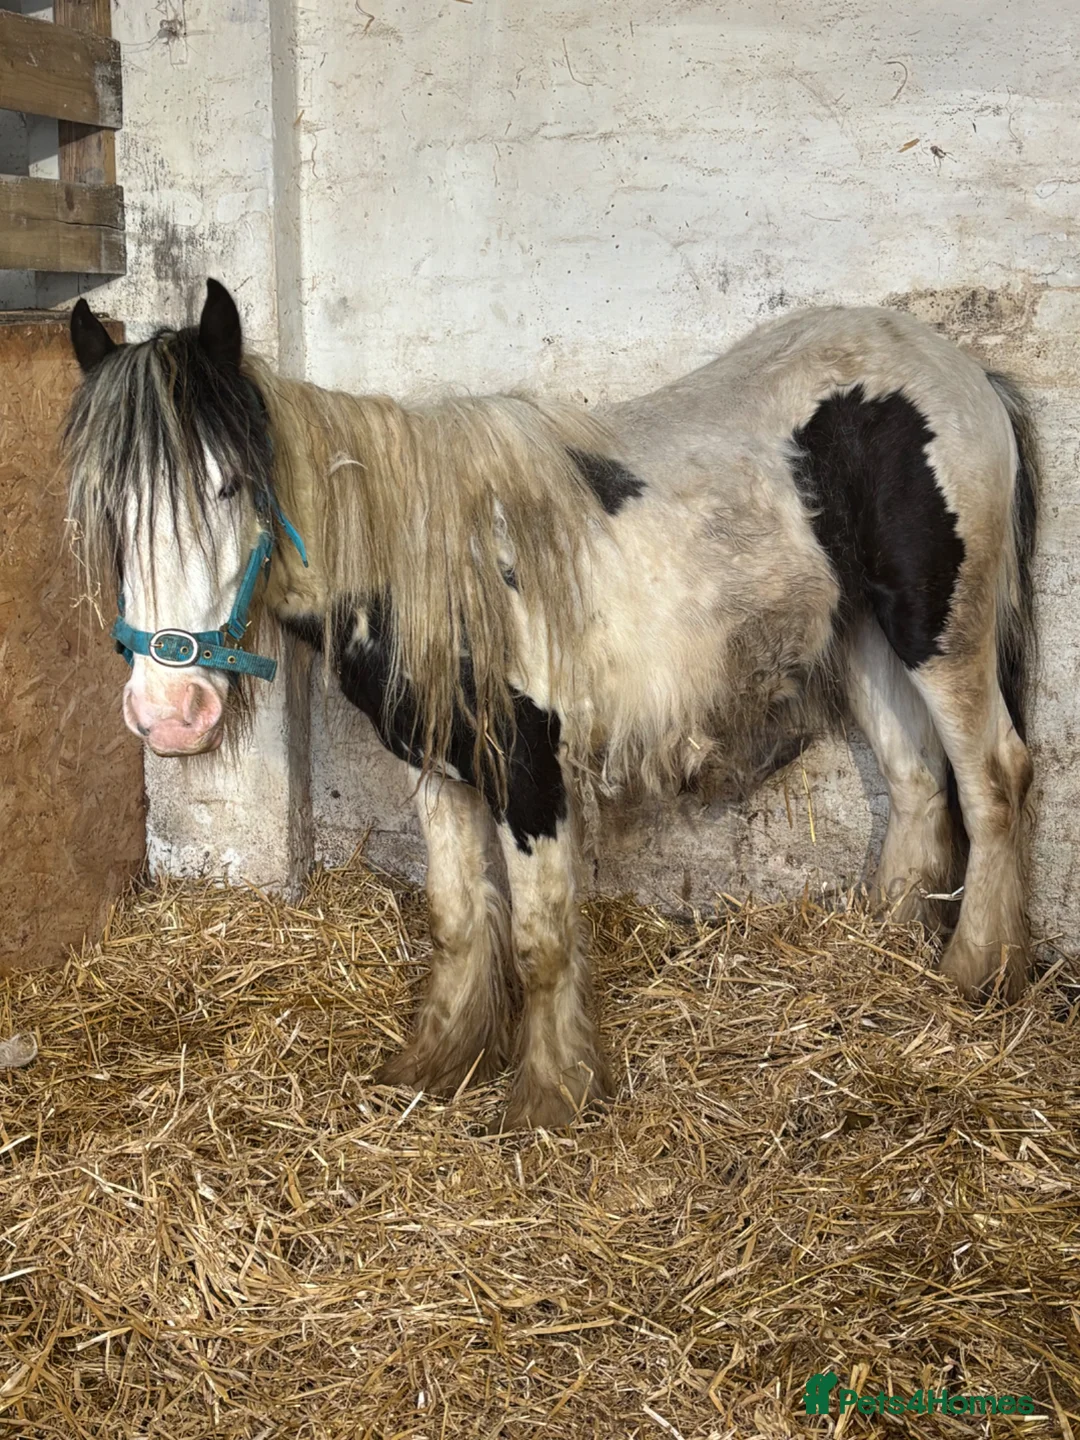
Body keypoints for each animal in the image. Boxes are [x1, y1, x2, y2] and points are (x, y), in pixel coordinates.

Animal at [64, 279, 1038, 1129]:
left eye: (229, 486)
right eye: (108, 509)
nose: (168, 712)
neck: (431, 565)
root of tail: (959, 369)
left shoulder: (531, 775)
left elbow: (540, 941)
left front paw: (548, 1096)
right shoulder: (441, 771)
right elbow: (458, 921)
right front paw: (436, 1065)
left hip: (939, 635)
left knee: (994, 780)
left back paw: (975, 974)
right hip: (866, 635)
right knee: (916, 782)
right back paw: (889, 951)